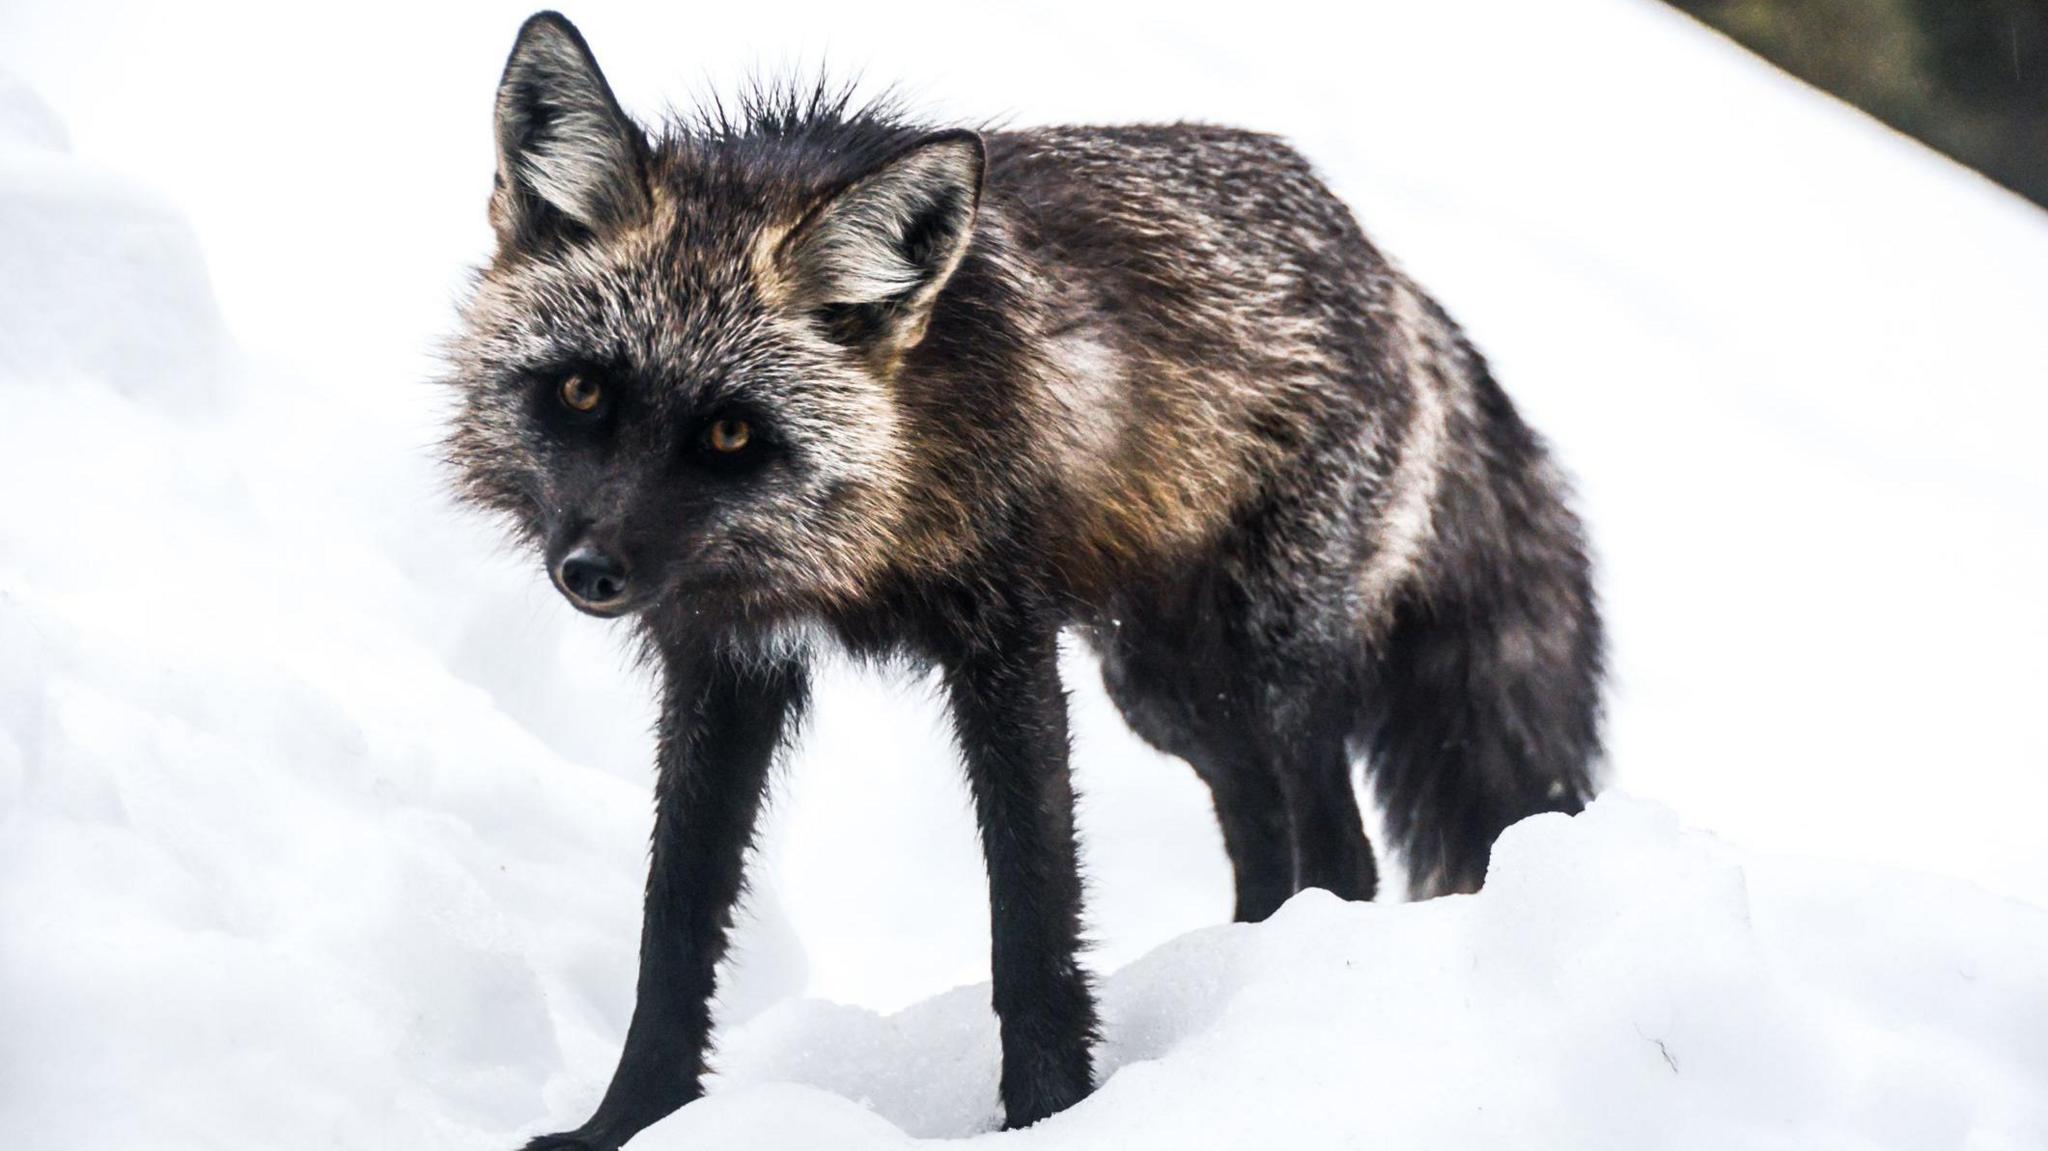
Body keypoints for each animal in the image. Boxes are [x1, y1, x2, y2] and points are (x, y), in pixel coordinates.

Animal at [444, 11, 1597, 1146]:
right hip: (1173, 693)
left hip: (1272, 669)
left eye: (729, 433)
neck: (856, 531)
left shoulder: (1003, 646)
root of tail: (1385, 266)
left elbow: (1031, 919)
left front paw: (1050, 1111)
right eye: (582, 393)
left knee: (1341, 854)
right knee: (1266, 839)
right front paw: (625, 1120)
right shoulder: (725, 661)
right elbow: (674, 925)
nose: (590, 571)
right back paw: (1229, 988)